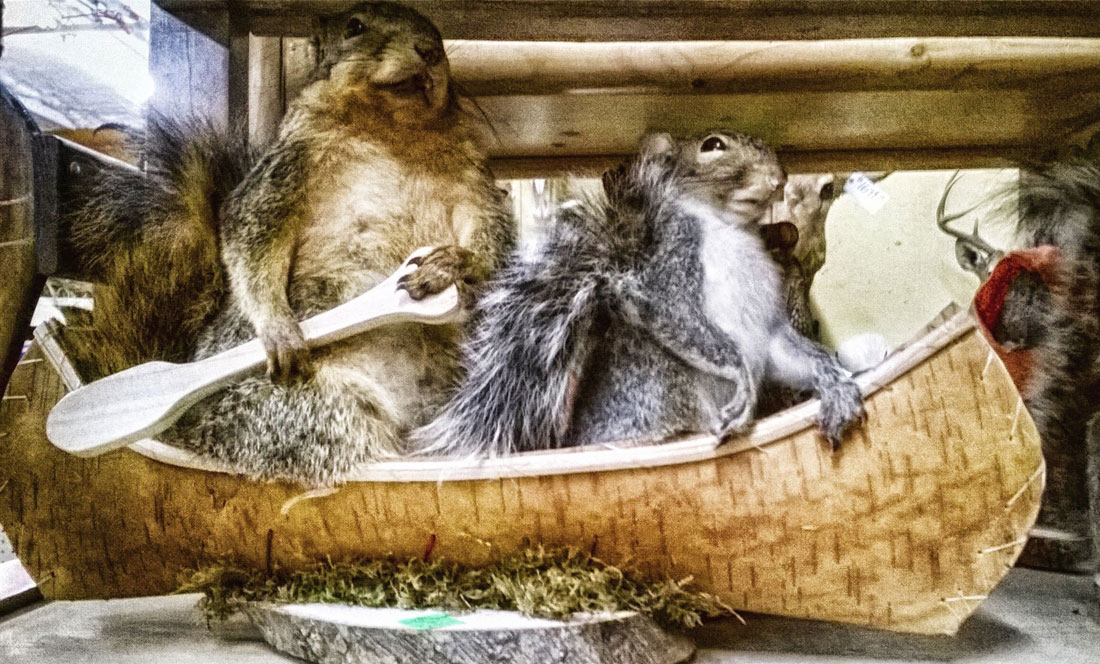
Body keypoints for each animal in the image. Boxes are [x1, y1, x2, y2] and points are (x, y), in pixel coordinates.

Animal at [60, 2, 515, 485]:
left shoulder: (473, 185)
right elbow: (250, 239)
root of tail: (190, 432)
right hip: (311, 406)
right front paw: (279, 328)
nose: (429, 51)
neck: (393, 131)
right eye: (354, 26)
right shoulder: (283, 174)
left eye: (439, 36)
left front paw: (454, 263)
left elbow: (494, 233)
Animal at [412, 131, 864, 456]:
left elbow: (794, 353)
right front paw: (742, 384)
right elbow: (685, 324)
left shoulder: (769, 329)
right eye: (712, 145)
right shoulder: (666, 275)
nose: (778, 177)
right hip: (663, 384)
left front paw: (836, 385)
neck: (730, 228)